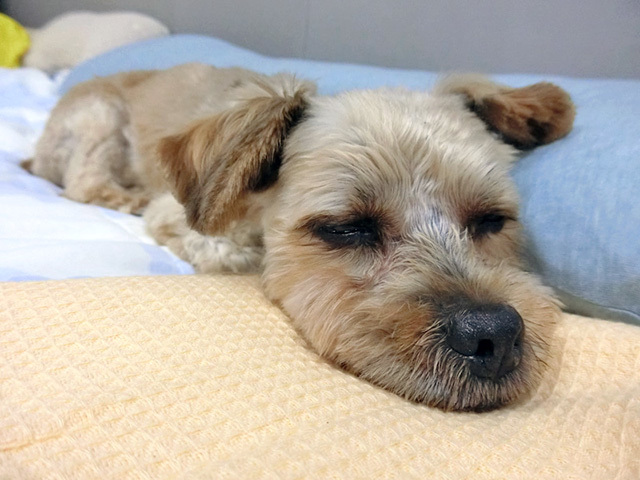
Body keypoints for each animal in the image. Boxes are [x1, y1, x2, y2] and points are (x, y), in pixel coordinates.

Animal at [25, 63, 575, 411]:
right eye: (345, 228)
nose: (494, 335)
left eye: (492, 220)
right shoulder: (190, 221)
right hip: (96, 117)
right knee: (84, 182)